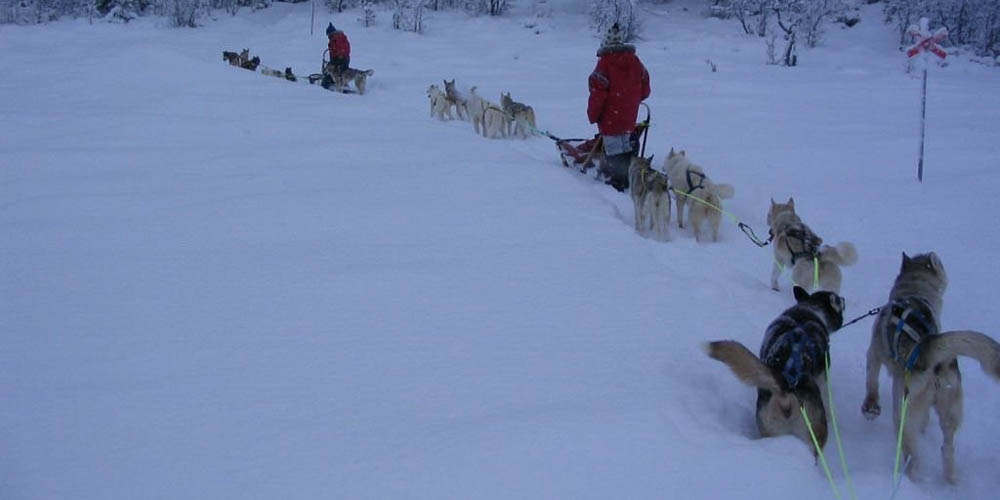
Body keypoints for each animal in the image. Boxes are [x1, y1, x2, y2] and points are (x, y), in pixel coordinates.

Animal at [704, 288, 844, 456]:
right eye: (840, 302)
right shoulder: (823, 377)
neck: (809, 308)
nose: (843, 299)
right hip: (812, 439)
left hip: (772, 430)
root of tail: (786, 391)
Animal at [860, 252, 1000, 482]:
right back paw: (950, 480)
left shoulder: (874, 353)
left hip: (903, 412)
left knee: (912, 454)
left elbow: (871, 383)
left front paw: (870, 408)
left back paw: (909, 478)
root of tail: (931, 354)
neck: (913, 292)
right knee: (947, 448)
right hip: (950, 412)